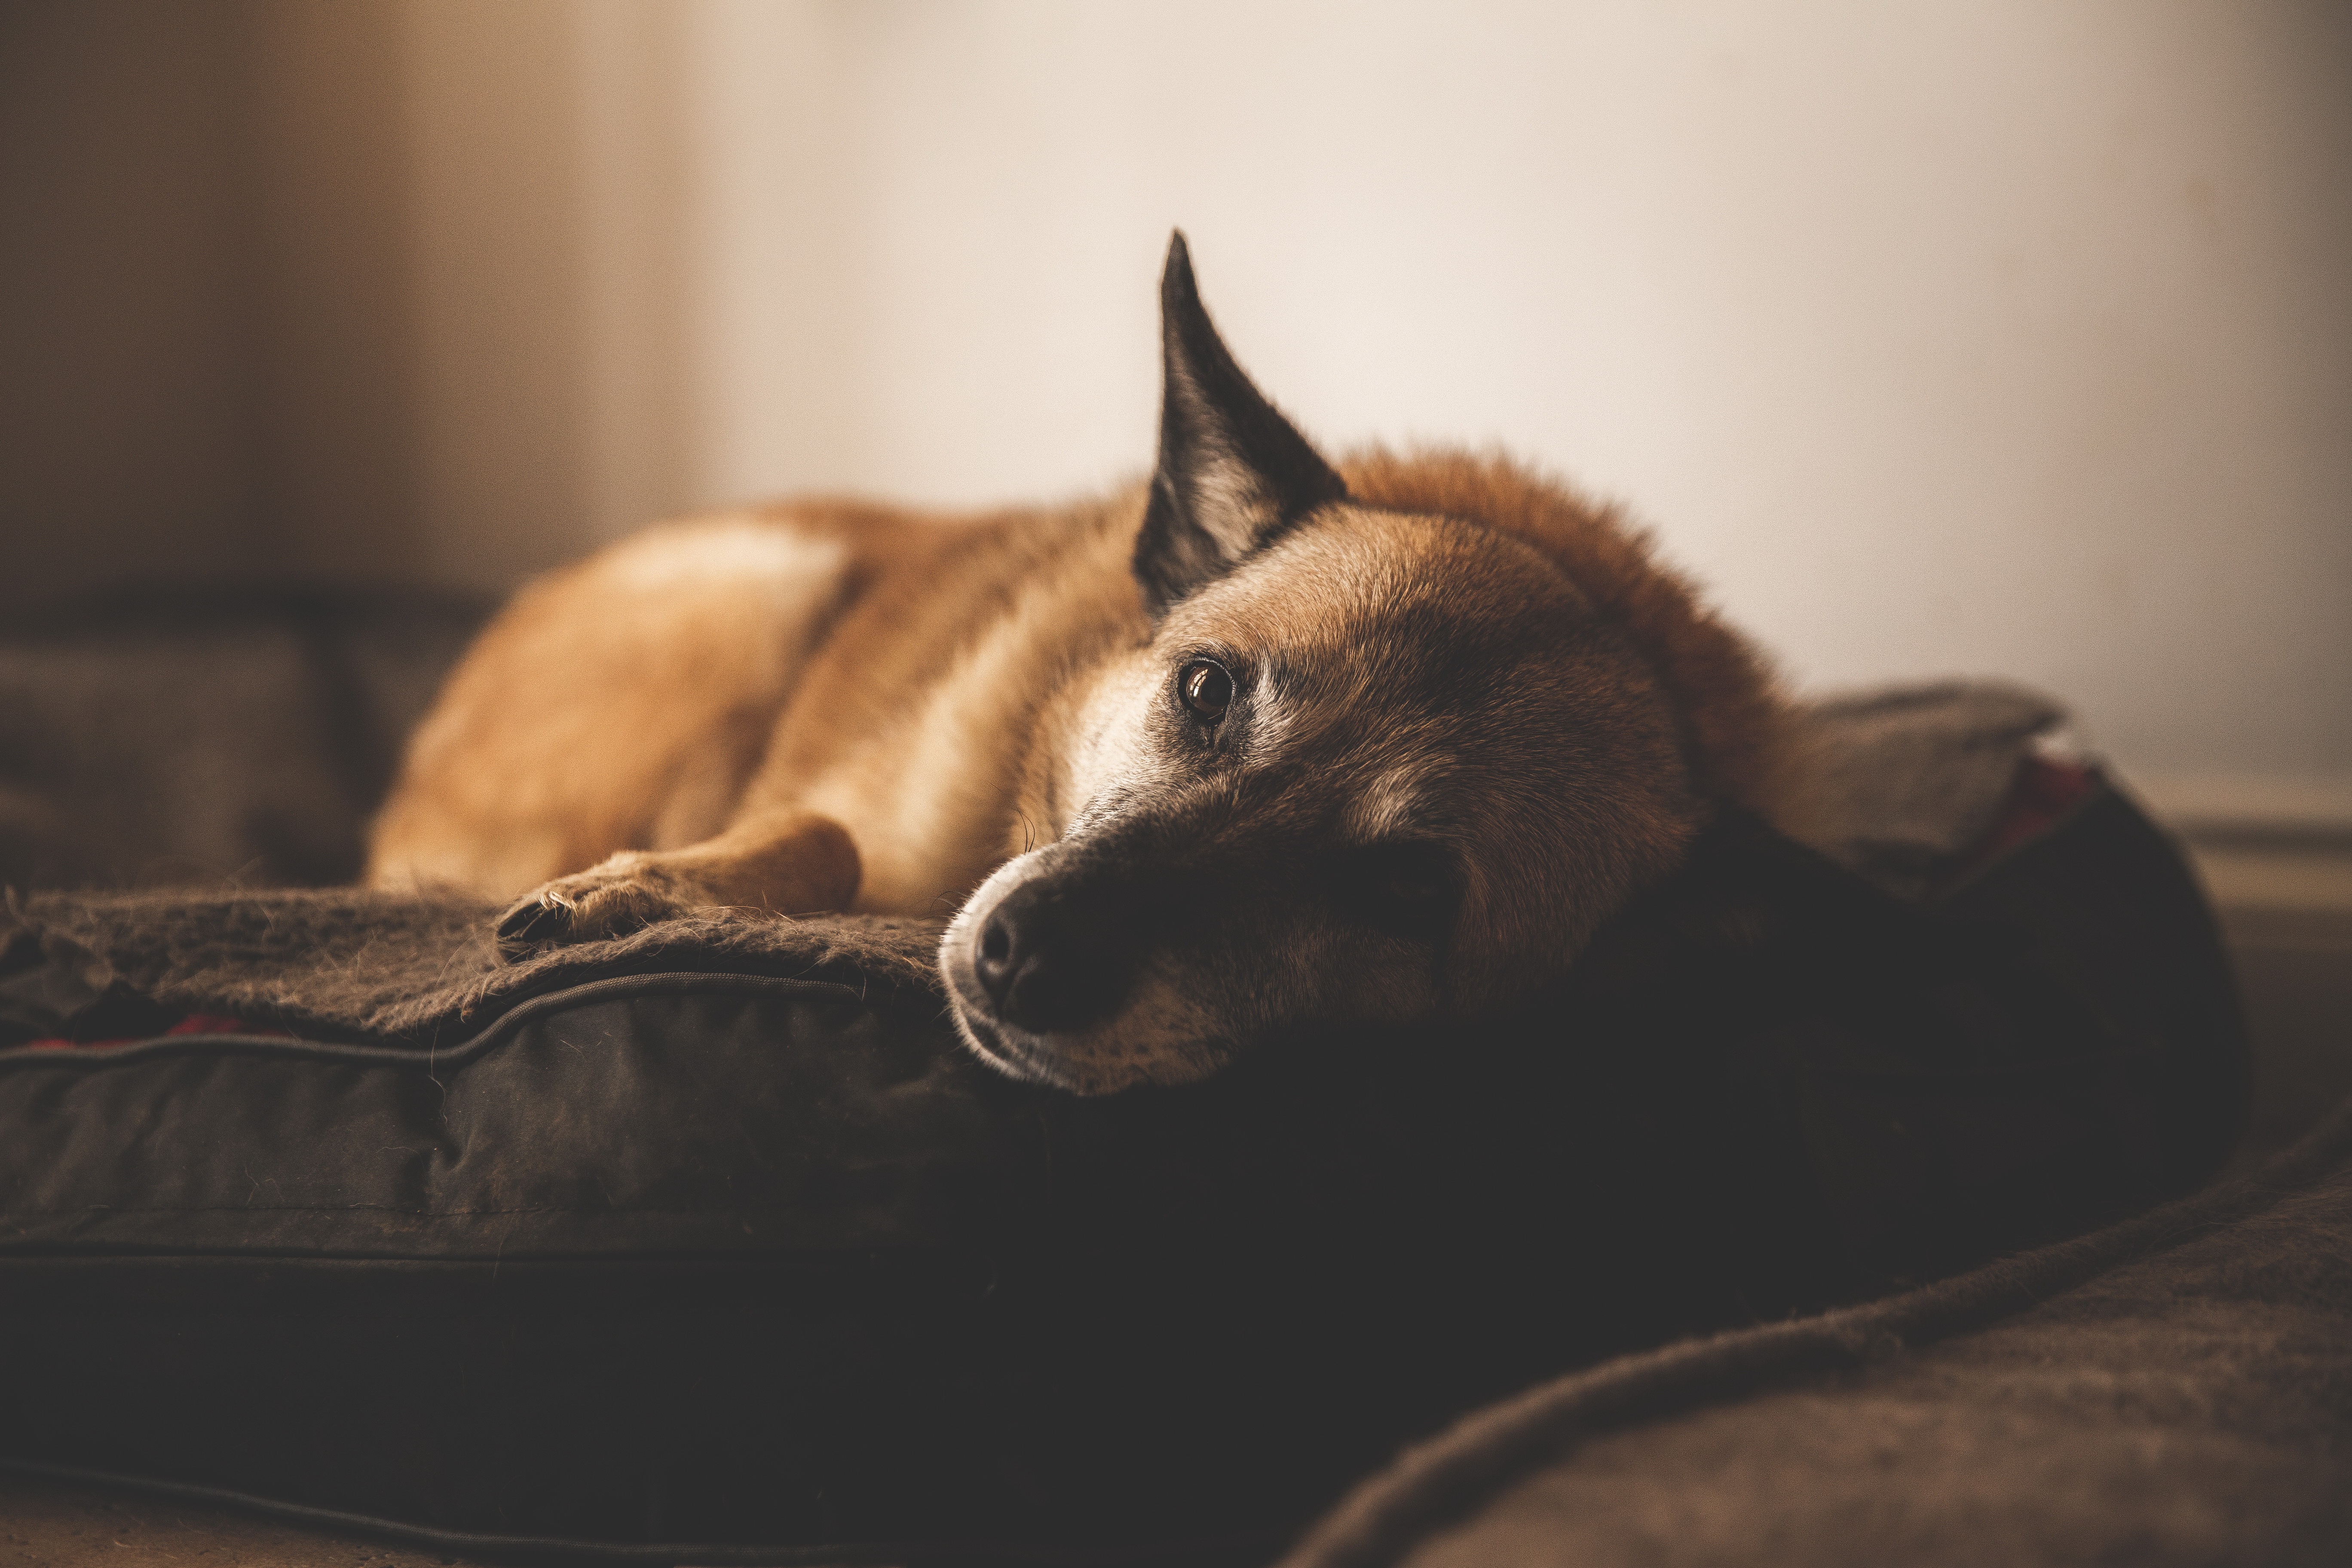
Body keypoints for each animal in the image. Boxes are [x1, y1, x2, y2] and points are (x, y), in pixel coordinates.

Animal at [367, 236, 1806, 1090]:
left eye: (1409, 888)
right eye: (1208, 689)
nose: (1026, 957)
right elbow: (819, 832)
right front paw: (638, 891)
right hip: (765, 590)